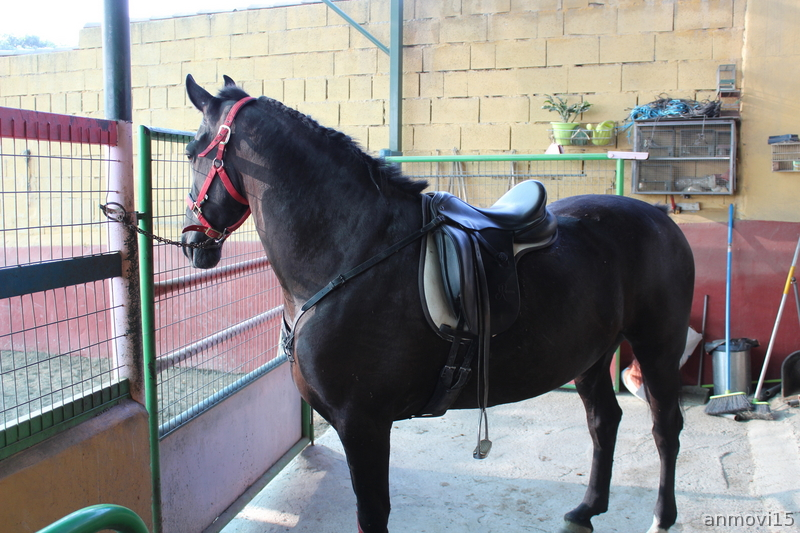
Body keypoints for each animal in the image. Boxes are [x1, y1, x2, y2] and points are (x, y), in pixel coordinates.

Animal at [180, 75, 695, 533]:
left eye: (190, 151)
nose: (190, 243)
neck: (352, 252)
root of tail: (659, 217)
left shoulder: (363, 423)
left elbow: (373, 514)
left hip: (658, 347)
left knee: (665, 426)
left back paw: (661, 518)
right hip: (589, 355)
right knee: (604, 422)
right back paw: (587, 509)